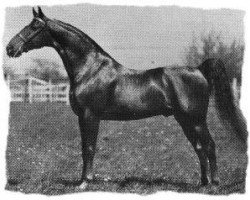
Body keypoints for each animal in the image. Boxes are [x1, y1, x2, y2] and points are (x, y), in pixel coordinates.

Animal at [5, 6, 246, 189]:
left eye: (35, 26)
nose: (10, 48)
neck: (90, 69)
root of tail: (199, 69)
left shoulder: (89, 116)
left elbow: (88, 148)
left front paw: (84, 182)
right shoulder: (84, 118)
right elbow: (85, 148)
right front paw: (84, 180)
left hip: (196, 119)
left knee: (210, 145)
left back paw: (215, 183)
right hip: (185, 120)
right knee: (199, 147)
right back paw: (203, 183)